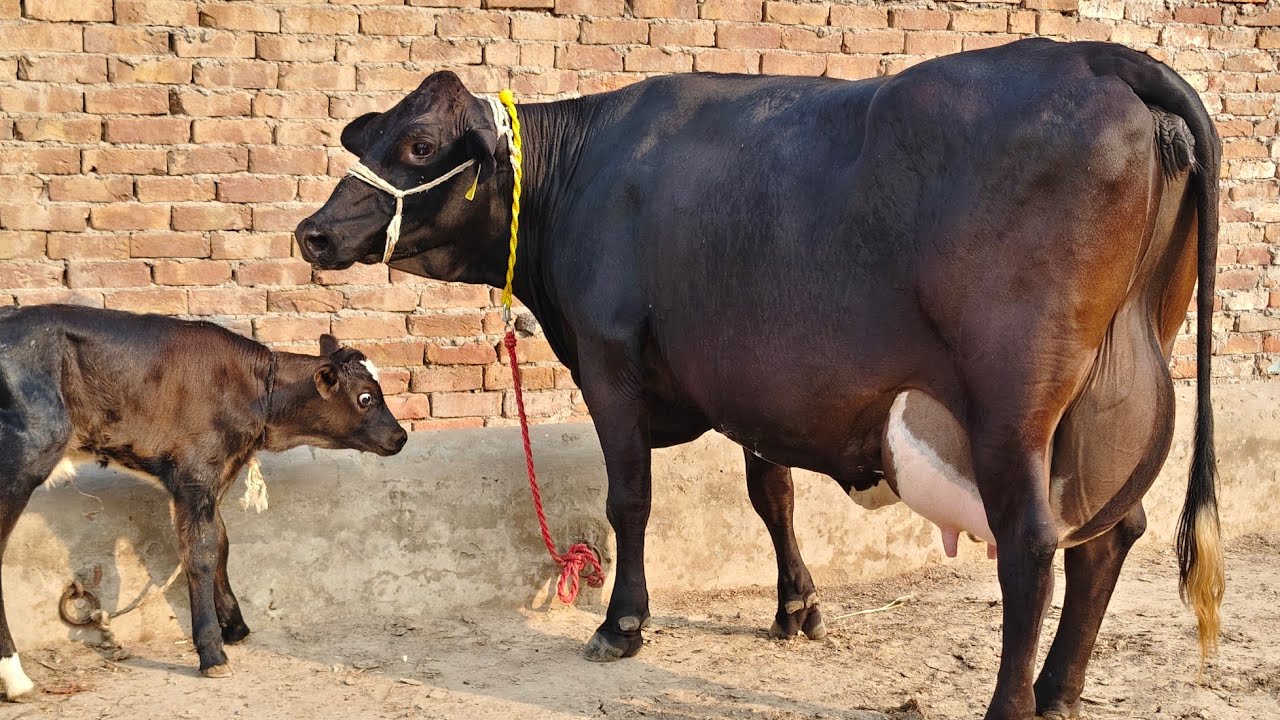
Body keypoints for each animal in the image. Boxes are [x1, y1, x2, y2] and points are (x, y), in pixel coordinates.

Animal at [0, 305, 407, 697]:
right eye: (365, 397)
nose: (401, 436)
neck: (257, 391)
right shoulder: (195, 475)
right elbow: (201, 554)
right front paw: (212, 652)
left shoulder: (213, 478)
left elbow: (221, 543)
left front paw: (235, 626)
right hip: (23, 461)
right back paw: (17, 680)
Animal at [295, 38, 1221, 720]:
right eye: (369, 140)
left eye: (419, 145)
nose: (314, 232)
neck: (584, 173)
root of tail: (1093, 56)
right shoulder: (758, 385)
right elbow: (771, 494)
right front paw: (795, 608)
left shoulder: (609, 362)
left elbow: (630, 500)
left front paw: (623, 623)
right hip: (1107, 394)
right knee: (1110, 532)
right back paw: (1060, 691)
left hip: (1014, 403)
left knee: (1032, 543)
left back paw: (1013, 702)